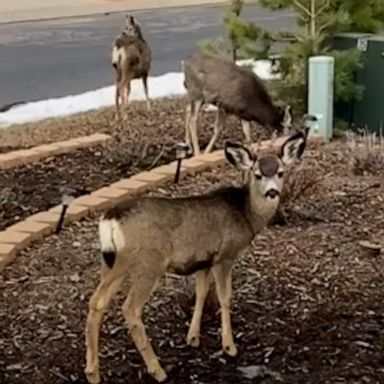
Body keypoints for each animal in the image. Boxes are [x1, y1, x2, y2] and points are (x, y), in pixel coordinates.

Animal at [85, 125, 312, 380]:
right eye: (257, 175)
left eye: (281, 173)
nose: (272, 192)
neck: (245, 213)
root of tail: (111, 217)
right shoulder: (225, 255)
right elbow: (224, 297)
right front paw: (229, 346)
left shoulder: (203, 260)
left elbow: (201, 293)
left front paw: (192, 337)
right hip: (149, 263)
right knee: (130, 308)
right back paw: (157, 370)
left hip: (114, 262)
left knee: (96, 302)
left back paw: (92, 372)